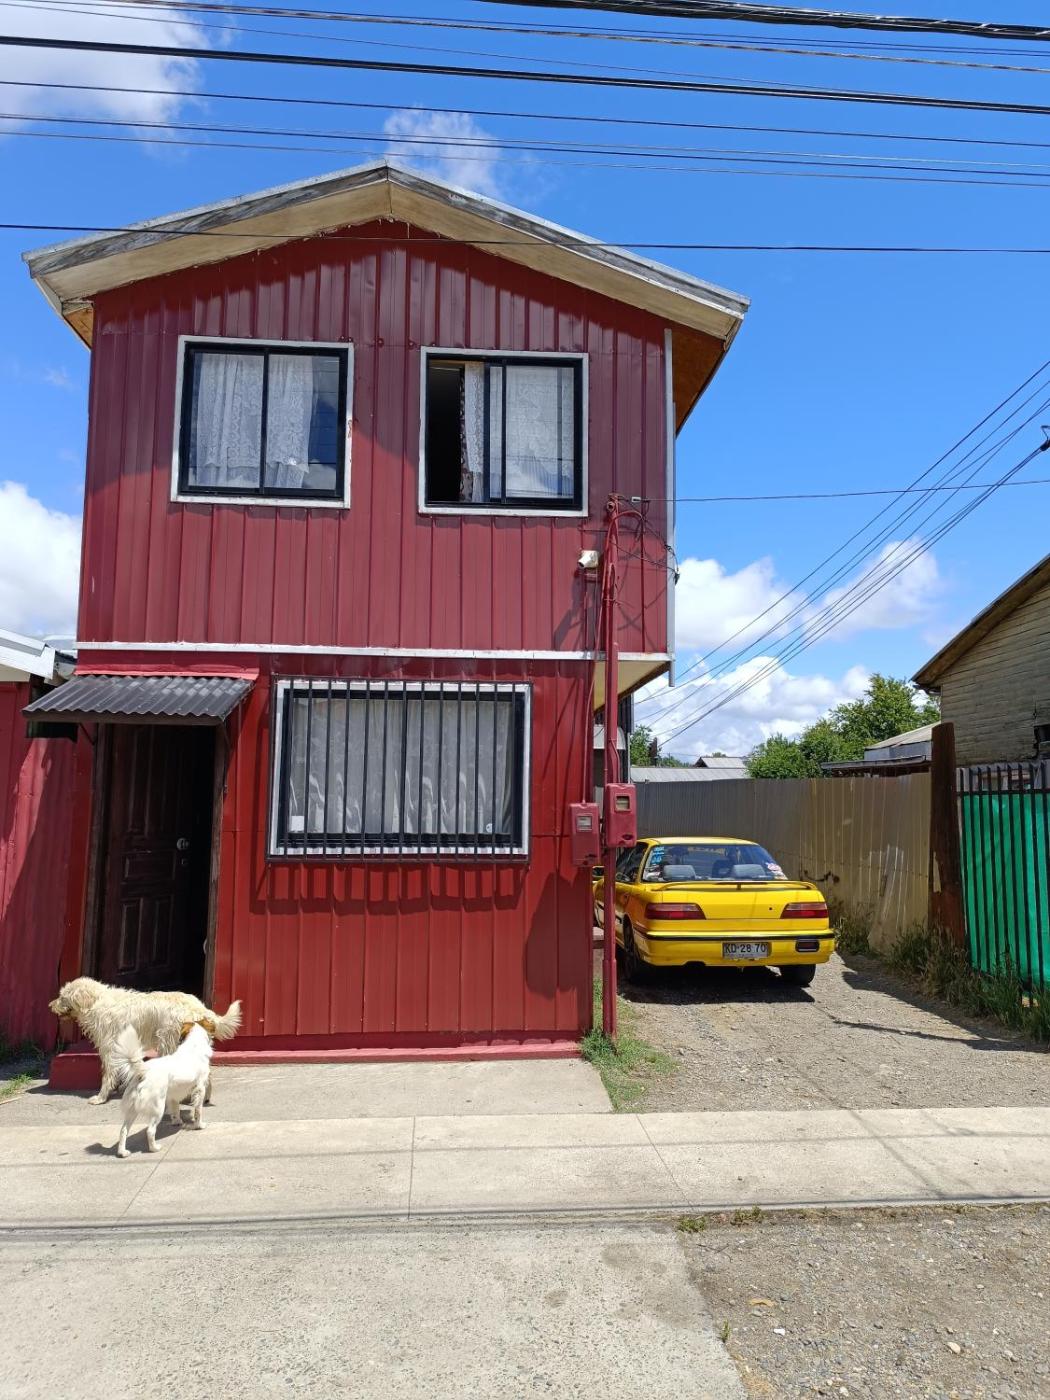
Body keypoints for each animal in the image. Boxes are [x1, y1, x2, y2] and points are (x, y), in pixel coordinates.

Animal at [49, 977, 241, 1105]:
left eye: (62, 997)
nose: (50, 1006)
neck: (96, 1002)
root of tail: (199, 1007)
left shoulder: (109, 1047)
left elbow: (108, 1074)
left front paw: (101, 1097)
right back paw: (205, 1096)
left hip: (168, 1043)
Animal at [110, 1020, 214, 1158]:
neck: (193, 1046)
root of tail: (144, 1071)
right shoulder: (200, 1088)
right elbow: (198, 1110)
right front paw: (199, 1125)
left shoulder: (173, 1095)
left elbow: (175, 1110)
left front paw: (177, 1122)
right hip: (157, 1108)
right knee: (150, 1130)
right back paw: (154, 1148)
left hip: (132, 1110)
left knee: (123, 1130)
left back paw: (122, 1152)